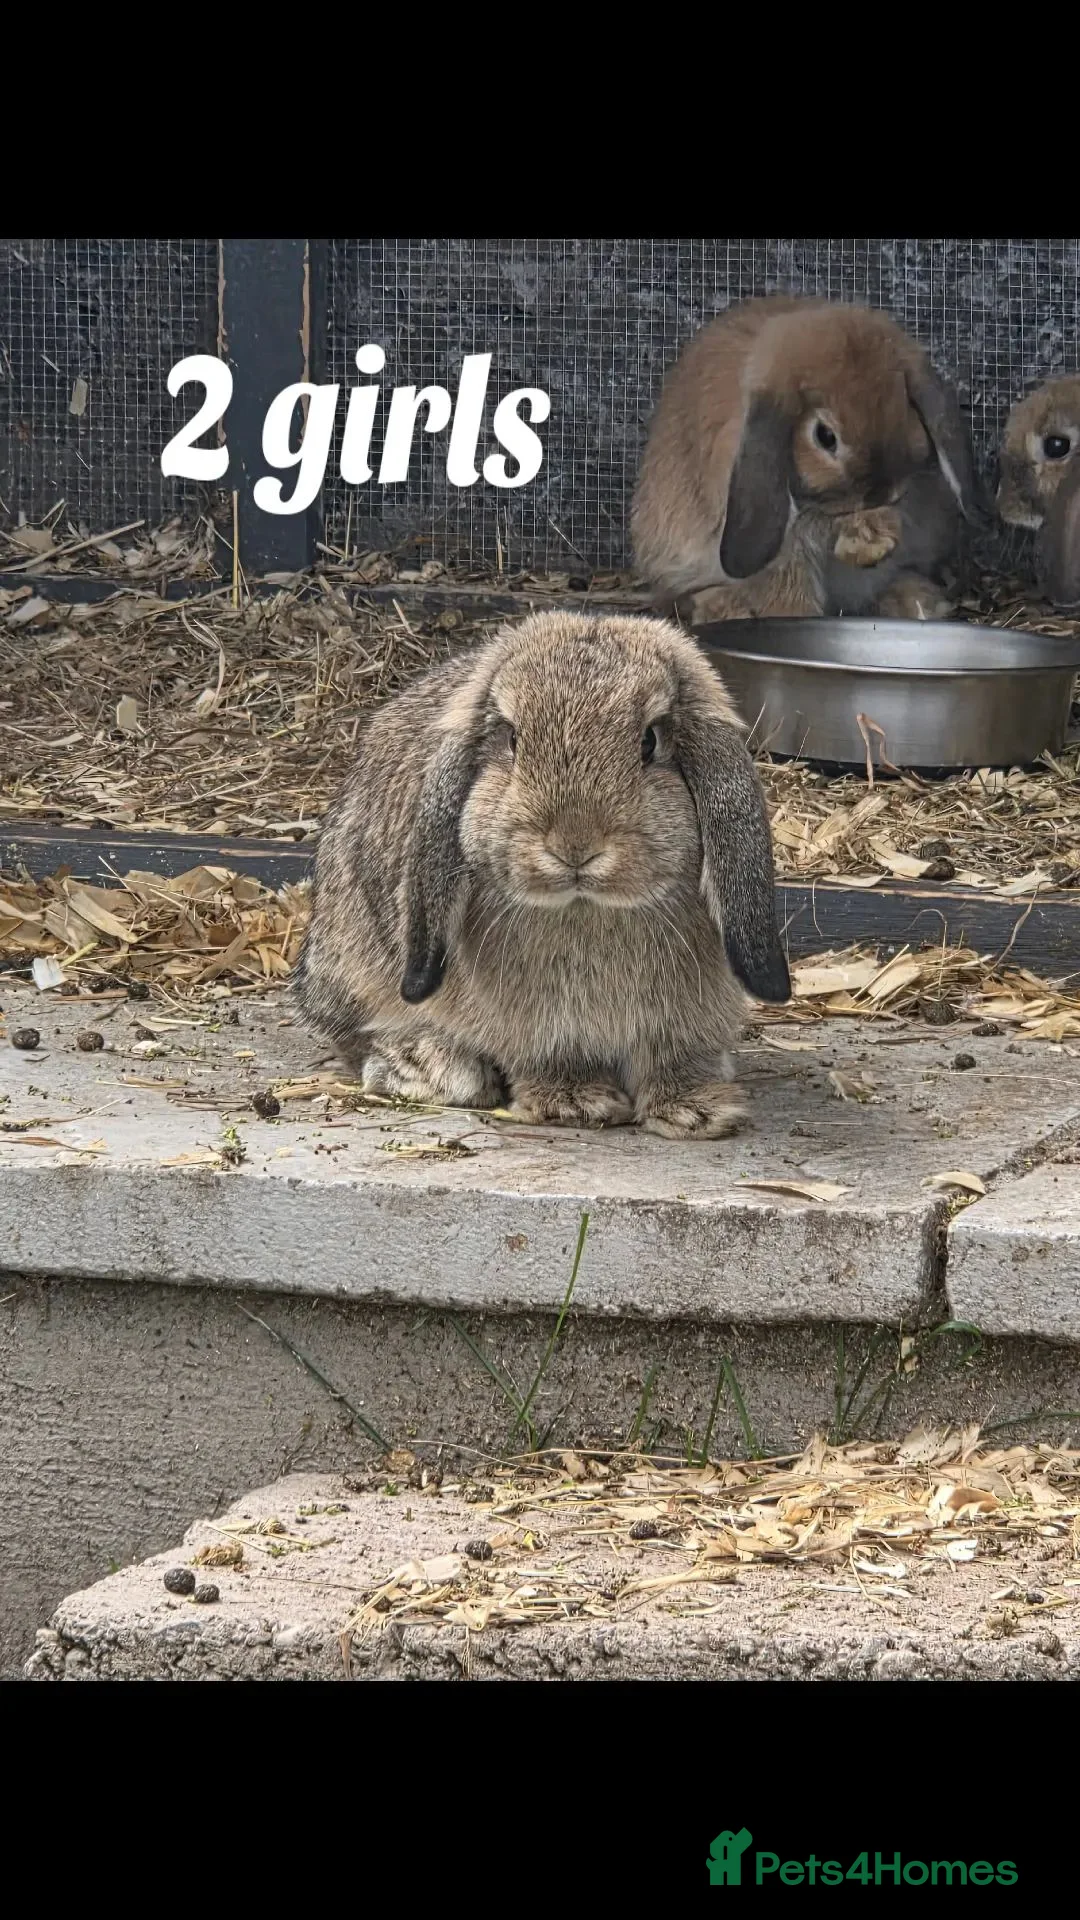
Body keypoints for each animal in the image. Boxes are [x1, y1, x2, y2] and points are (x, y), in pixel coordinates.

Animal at [294, 610, 792, 1141]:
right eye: (513, 738)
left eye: (650, 741)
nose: (574, 846)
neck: (587, 909)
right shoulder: (543, 1026)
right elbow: (554, 1055)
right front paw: (574, 1103)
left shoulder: (685, 1019)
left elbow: (678, 1060)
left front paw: (697, 1111)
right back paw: (428, 1067)